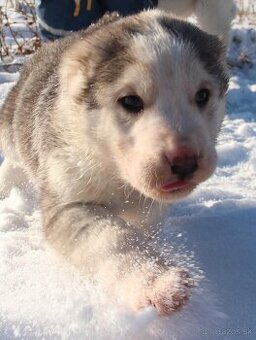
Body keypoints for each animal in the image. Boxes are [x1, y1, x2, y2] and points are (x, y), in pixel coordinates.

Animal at [0, 9, 228, 314]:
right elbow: (113, 237)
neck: (115, 173)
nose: (185, 162)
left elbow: (140, 230)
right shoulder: (69, 199)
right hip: (13, 133)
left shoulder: (150, 212)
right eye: (130, 101)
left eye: (203, 95)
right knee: (12, 164)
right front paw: (156, 280)